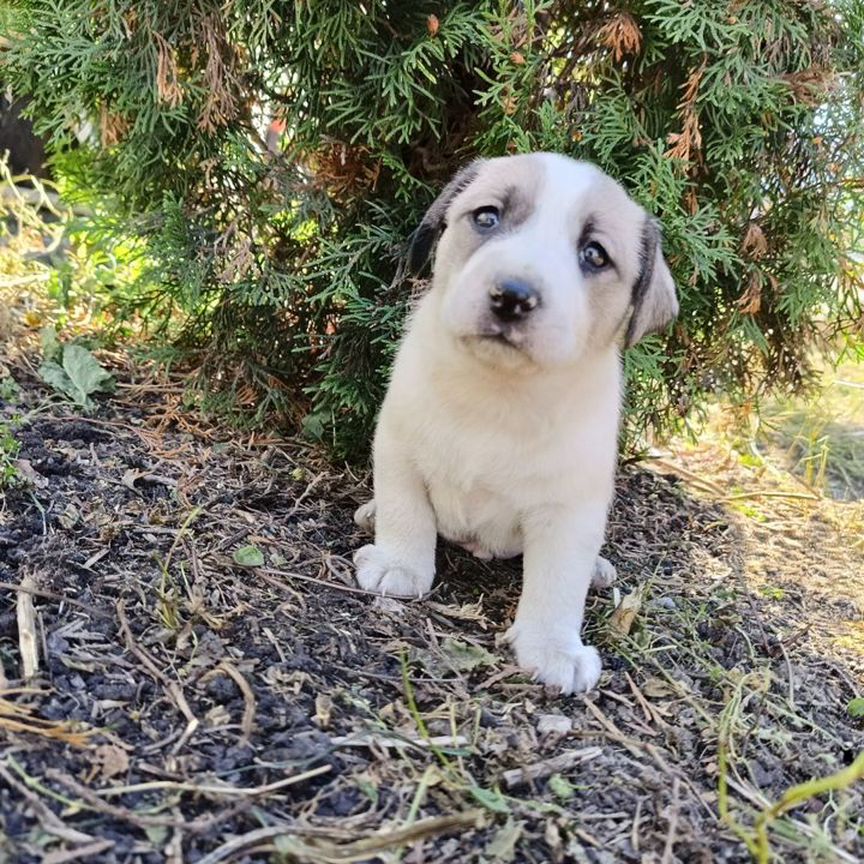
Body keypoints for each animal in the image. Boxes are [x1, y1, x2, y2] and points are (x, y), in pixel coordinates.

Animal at [354, 154, 680, 696]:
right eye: (487, 217)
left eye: (594, 254)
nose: (512, 296)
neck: (499, 389)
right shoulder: (398, 447)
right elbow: (407, 512)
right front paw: (399, 564)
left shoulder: (570, 511)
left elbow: (558, 582)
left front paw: (553, 648)